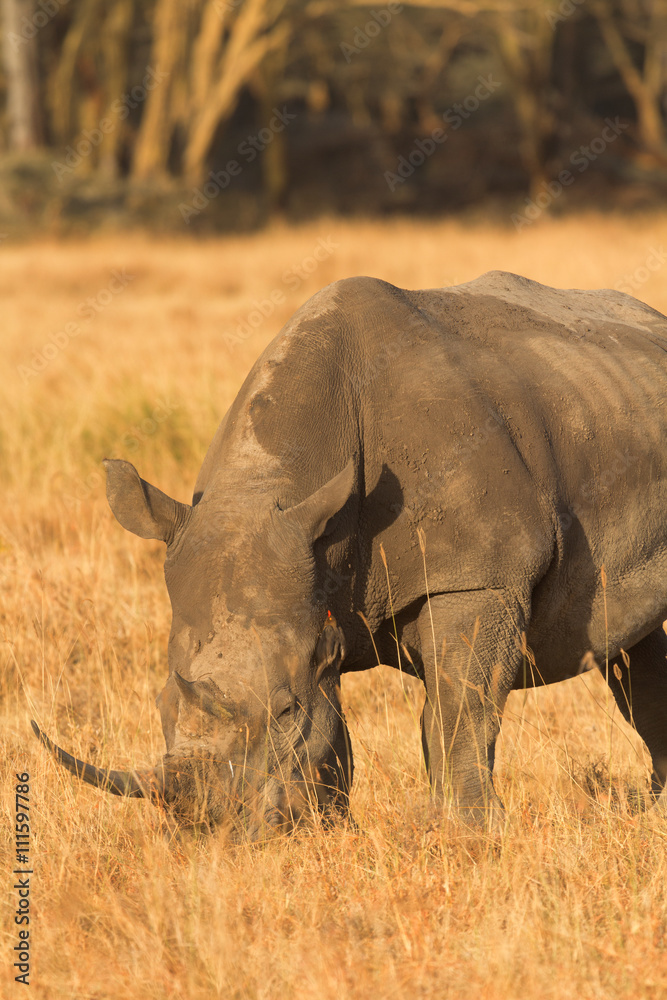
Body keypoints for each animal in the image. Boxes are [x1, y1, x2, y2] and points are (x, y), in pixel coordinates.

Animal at [33, 271, 667, 835]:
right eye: (161, 704)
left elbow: (459, 707)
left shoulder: (476, 575)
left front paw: (469, 834)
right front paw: (331, 832)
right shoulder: (313, 592)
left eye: (285, 710)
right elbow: (334, 734)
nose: (204, 830)